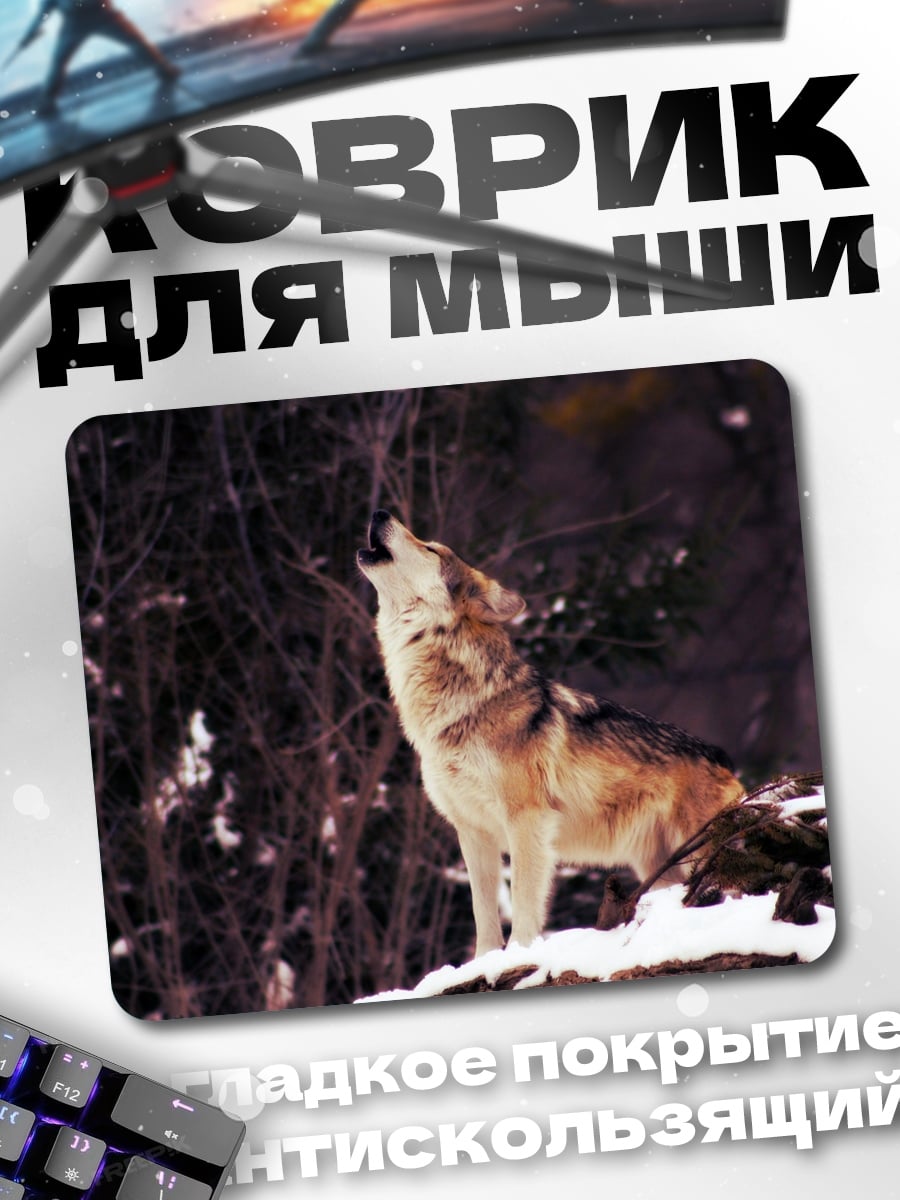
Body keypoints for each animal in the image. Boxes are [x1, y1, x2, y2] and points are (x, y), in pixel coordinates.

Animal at [358, 510, 744, 957]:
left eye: (431, 548)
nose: (379, 512)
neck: (463, 704)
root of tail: (724, 760)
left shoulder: (528, 821)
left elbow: (524, 901)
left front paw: (518, 955)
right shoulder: (472, 831)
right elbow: (482, 912)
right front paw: (485, 961)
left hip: (698, 856)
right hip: (660, 868)